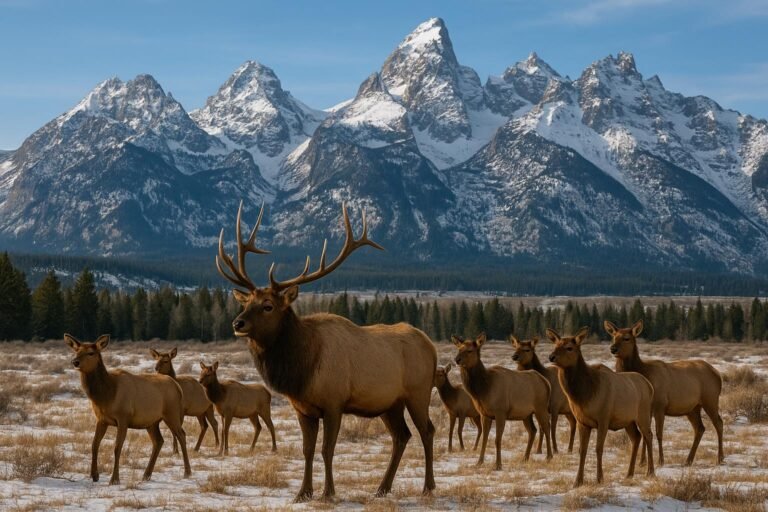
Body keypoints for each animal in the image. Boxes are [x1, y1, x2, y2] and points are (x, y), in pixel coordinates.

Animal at [64, 334, 191, 485]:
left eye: (91, 353)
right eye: (76, 351)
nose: (75, 362)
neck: (106, 396)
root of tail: (177, 387)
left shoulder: (123, 417)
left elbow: (117, 447)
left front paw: (114, 479)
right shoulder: (101, 419)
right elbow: (94, 444)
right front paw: (94, 475)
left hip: (172, 413)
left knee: (182, 435)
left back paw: (187, 472)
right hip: (151, 422)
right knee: (158, 441)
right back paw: (146, 475)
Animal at [215, 201, 437, 501]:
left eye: (268, 305)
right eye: (246, 302)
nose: (237, 323)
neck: (302, 369)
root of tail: (430, 345)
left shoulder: (334, 402)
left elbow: (326, 449)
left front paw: (328, 492)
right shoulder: (302, 409)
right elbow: (307, 450)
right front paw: (303, 493)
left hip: (418, 392)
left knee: (427, 431)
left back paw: (428, 487)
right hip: (390, 403)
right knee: (401, 436)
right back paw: (382, 488)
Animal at [452, 333, 553, 469]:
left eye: (469, 350)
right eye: (459, 349)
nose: (457, 359)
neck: (483, 390)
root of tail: (546, 382)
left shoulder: (500, 412)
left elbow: (497, 439)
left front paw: (498, 465)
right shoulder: (484, 414)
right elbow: (484, 439)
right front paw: (479, 462)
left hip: (541, 407)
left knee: (546, 427)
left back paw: (549, 456)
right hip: (526, 414)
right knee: (533, 430)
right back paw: (525, 458)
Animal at [547, 327, 654, 487]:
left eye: (569, 348)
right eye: (555, 345)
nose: (551, 356)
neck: (584, 396)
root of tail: (649, 385)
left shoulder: (603, 418)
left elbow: (598, 448)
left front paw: (599, 478)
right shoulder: (582, 422)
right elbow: (582, 450)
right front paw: (577, 481)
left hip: (643, 414)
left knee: (648, 436)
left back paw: (650, 472)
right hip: (628, 420)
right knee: (636, 437)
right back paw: (629, 474)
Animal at [605, 320, 724, 466]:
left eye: (626, 338)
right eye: (613, 337)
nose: (613, 349)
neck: (644, 372)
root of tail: (718, 374)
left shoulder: (660, 405)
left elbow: (658, 433)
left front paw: (660, 460)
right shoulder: (646, 409)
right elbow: (645, 434)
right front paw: (642, 462)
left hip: (710, 399)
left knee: (719, 423)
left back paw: (720, 458)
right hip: (692, 408)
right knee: (700, 428)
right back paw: (688, 460)